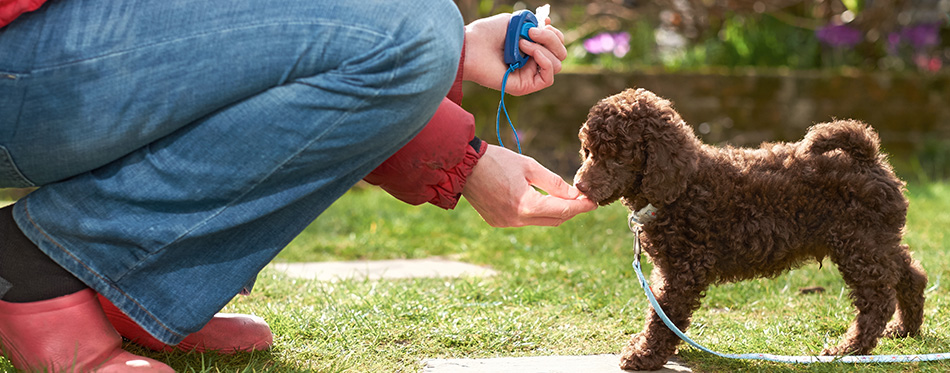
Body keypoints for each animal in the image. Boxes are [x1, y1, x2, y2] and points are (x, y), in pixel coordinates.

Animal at [572, 87, 928, 370]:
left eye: (616, 156)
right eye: (588, 151)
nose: (579, 186)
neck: (683, 186)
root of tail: (868, 157)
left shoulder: (683, 270)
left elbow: (663, 315)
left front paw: (644, 355)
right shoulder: (670, 269)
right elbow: (661, 312)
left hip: (859, 244)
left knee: (877, 300)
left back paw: (849, 349)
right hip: (876, 240)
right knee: (910, 274)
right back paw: (905, 329)